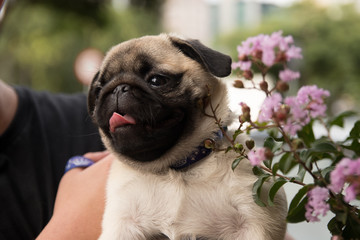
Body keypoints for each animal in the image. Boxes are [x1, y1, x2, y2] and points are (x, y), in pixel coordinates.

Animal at [88, 32, 286, 239]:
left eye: (157, 80)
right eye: (98, 90)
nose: (118, 88)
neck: (176, 167)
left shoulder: (252, 221)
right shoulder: (121, 227)